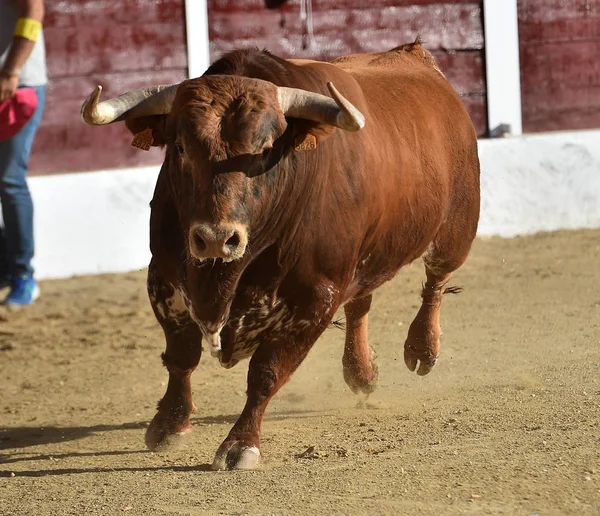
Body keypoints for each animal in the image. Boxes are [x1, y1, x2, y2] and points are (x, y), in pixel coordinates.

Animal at [82, 43, 480, 472]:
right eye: (181, 147)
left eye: (264, 151)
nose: (216, 239)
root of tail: (415, 57)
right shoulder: (164, 277)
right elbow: (182, 356)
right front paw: (170, 424)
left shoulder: (316, 298)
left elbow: (267, 373)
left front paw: (240, 444)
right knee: (361, 302)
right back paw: (362, 372)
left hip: (456, 228)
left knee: (435, 282)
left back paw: (422, 349)